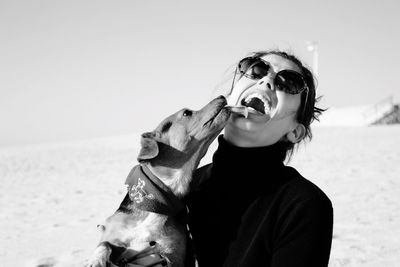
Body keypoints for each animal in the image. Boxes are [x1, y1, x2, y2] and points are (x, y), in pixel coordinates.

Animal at [86, 97, 231, 267]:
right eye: (187, 113)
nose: (221, 96)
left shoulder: (171, 255)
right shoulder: (113, 236)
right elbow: (104, 244)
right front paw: (96, 260)